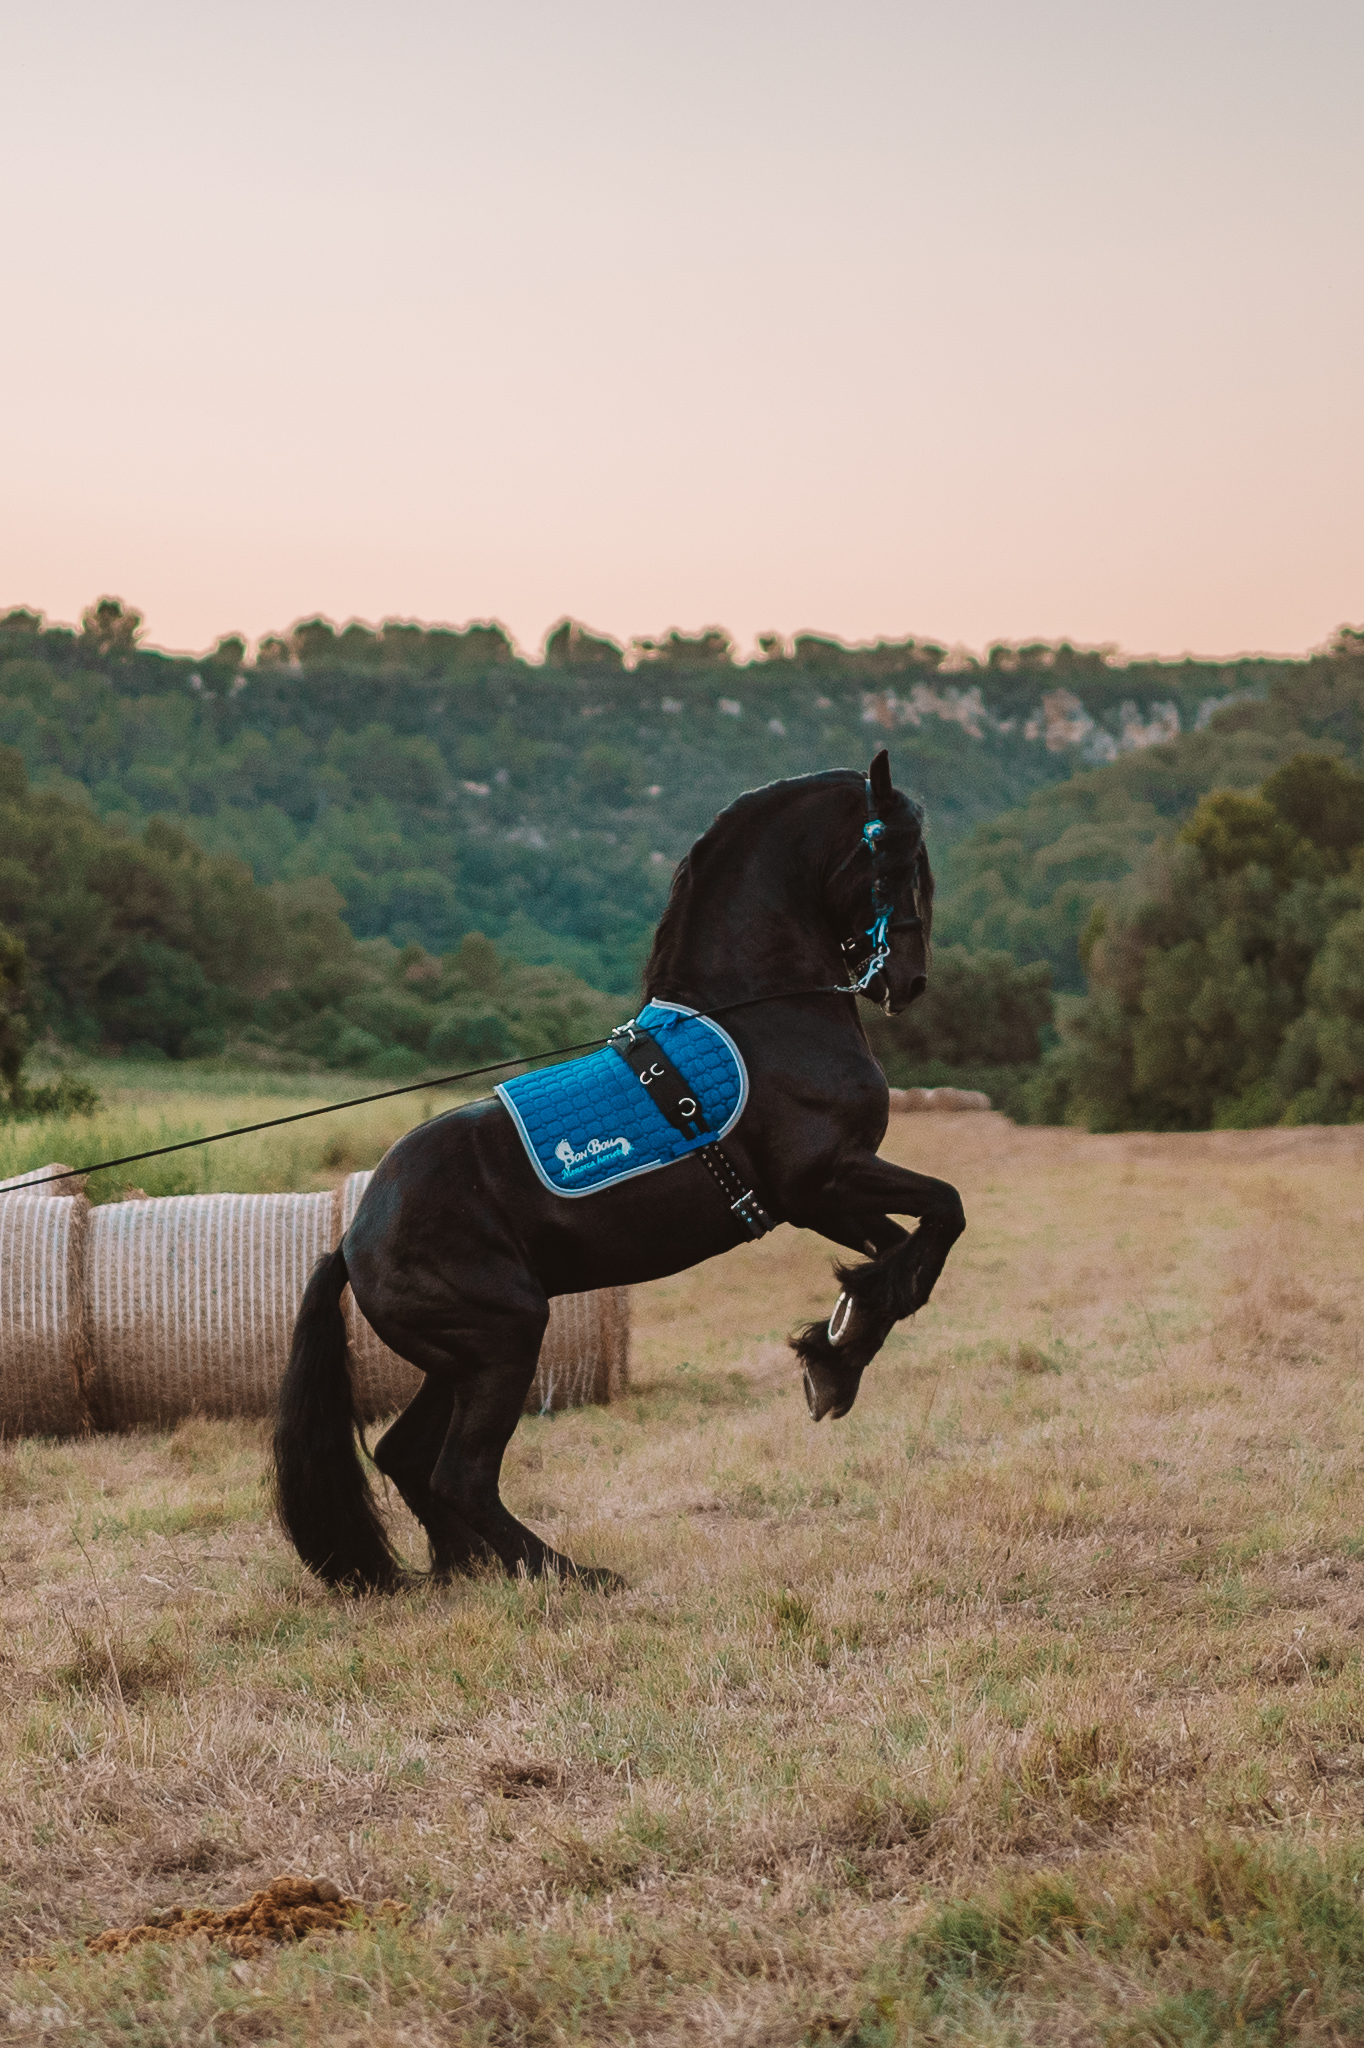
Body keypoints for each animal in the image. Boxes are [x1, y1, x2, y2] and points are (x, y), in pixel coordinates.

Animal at [273, 748, 965, 1591]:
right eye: (892, 856)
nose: (908, 982)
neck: (762, 1015)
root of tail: (351, 1237)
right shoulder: (823, 1178)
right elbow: (943, 1214)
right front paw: (833, 1355)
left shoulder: (820, 1198)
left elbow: (904, 1253)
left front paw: (837, 1349)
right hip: (505, 1342)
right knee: (457, 1474)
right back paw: (568, 1573)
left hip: (459, 1358)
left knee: (403, 1455)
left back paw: (463, 1571)